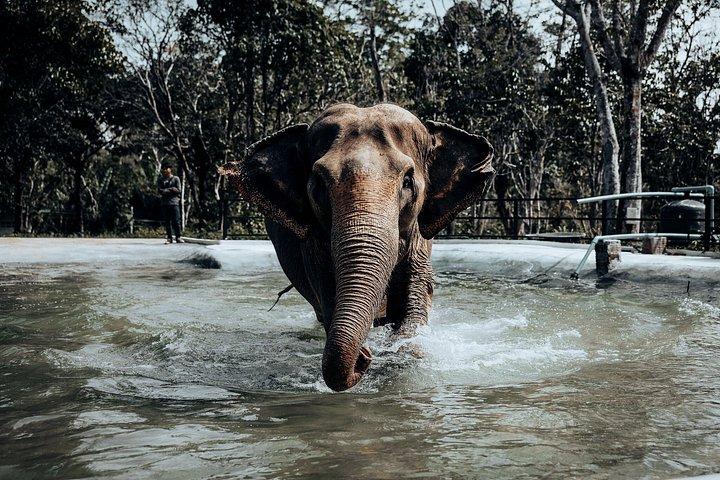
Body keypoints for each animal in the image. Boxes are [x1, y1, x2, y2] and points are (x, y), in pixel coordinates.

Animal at [222, 103, 494, 392]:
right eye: (318, 184)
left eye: (408, 182)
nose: (364, 357)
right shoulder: (313, 244)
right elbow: (328, 293)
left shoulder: (419, 237)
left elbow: (416, 297)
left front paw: (403, 355)